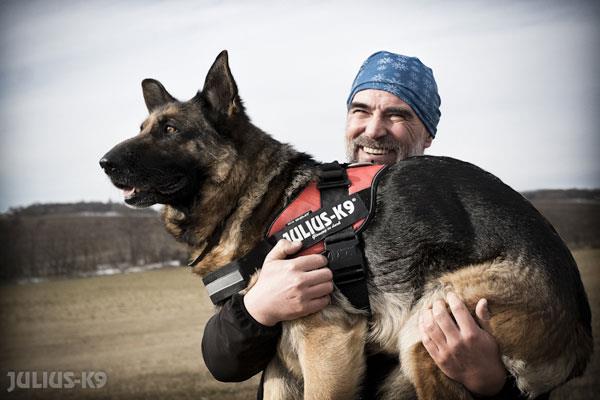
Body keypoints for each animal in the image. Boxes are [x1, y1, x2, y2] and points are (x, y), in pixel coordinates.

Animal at [101, 51, 592, 398]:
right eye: (144, 126)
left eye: (169, 130)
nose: (103, 162)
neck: (262, 199)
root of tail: (583, 333)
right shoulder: (280, 363)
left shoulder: (327, 343)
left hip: (426, 329)